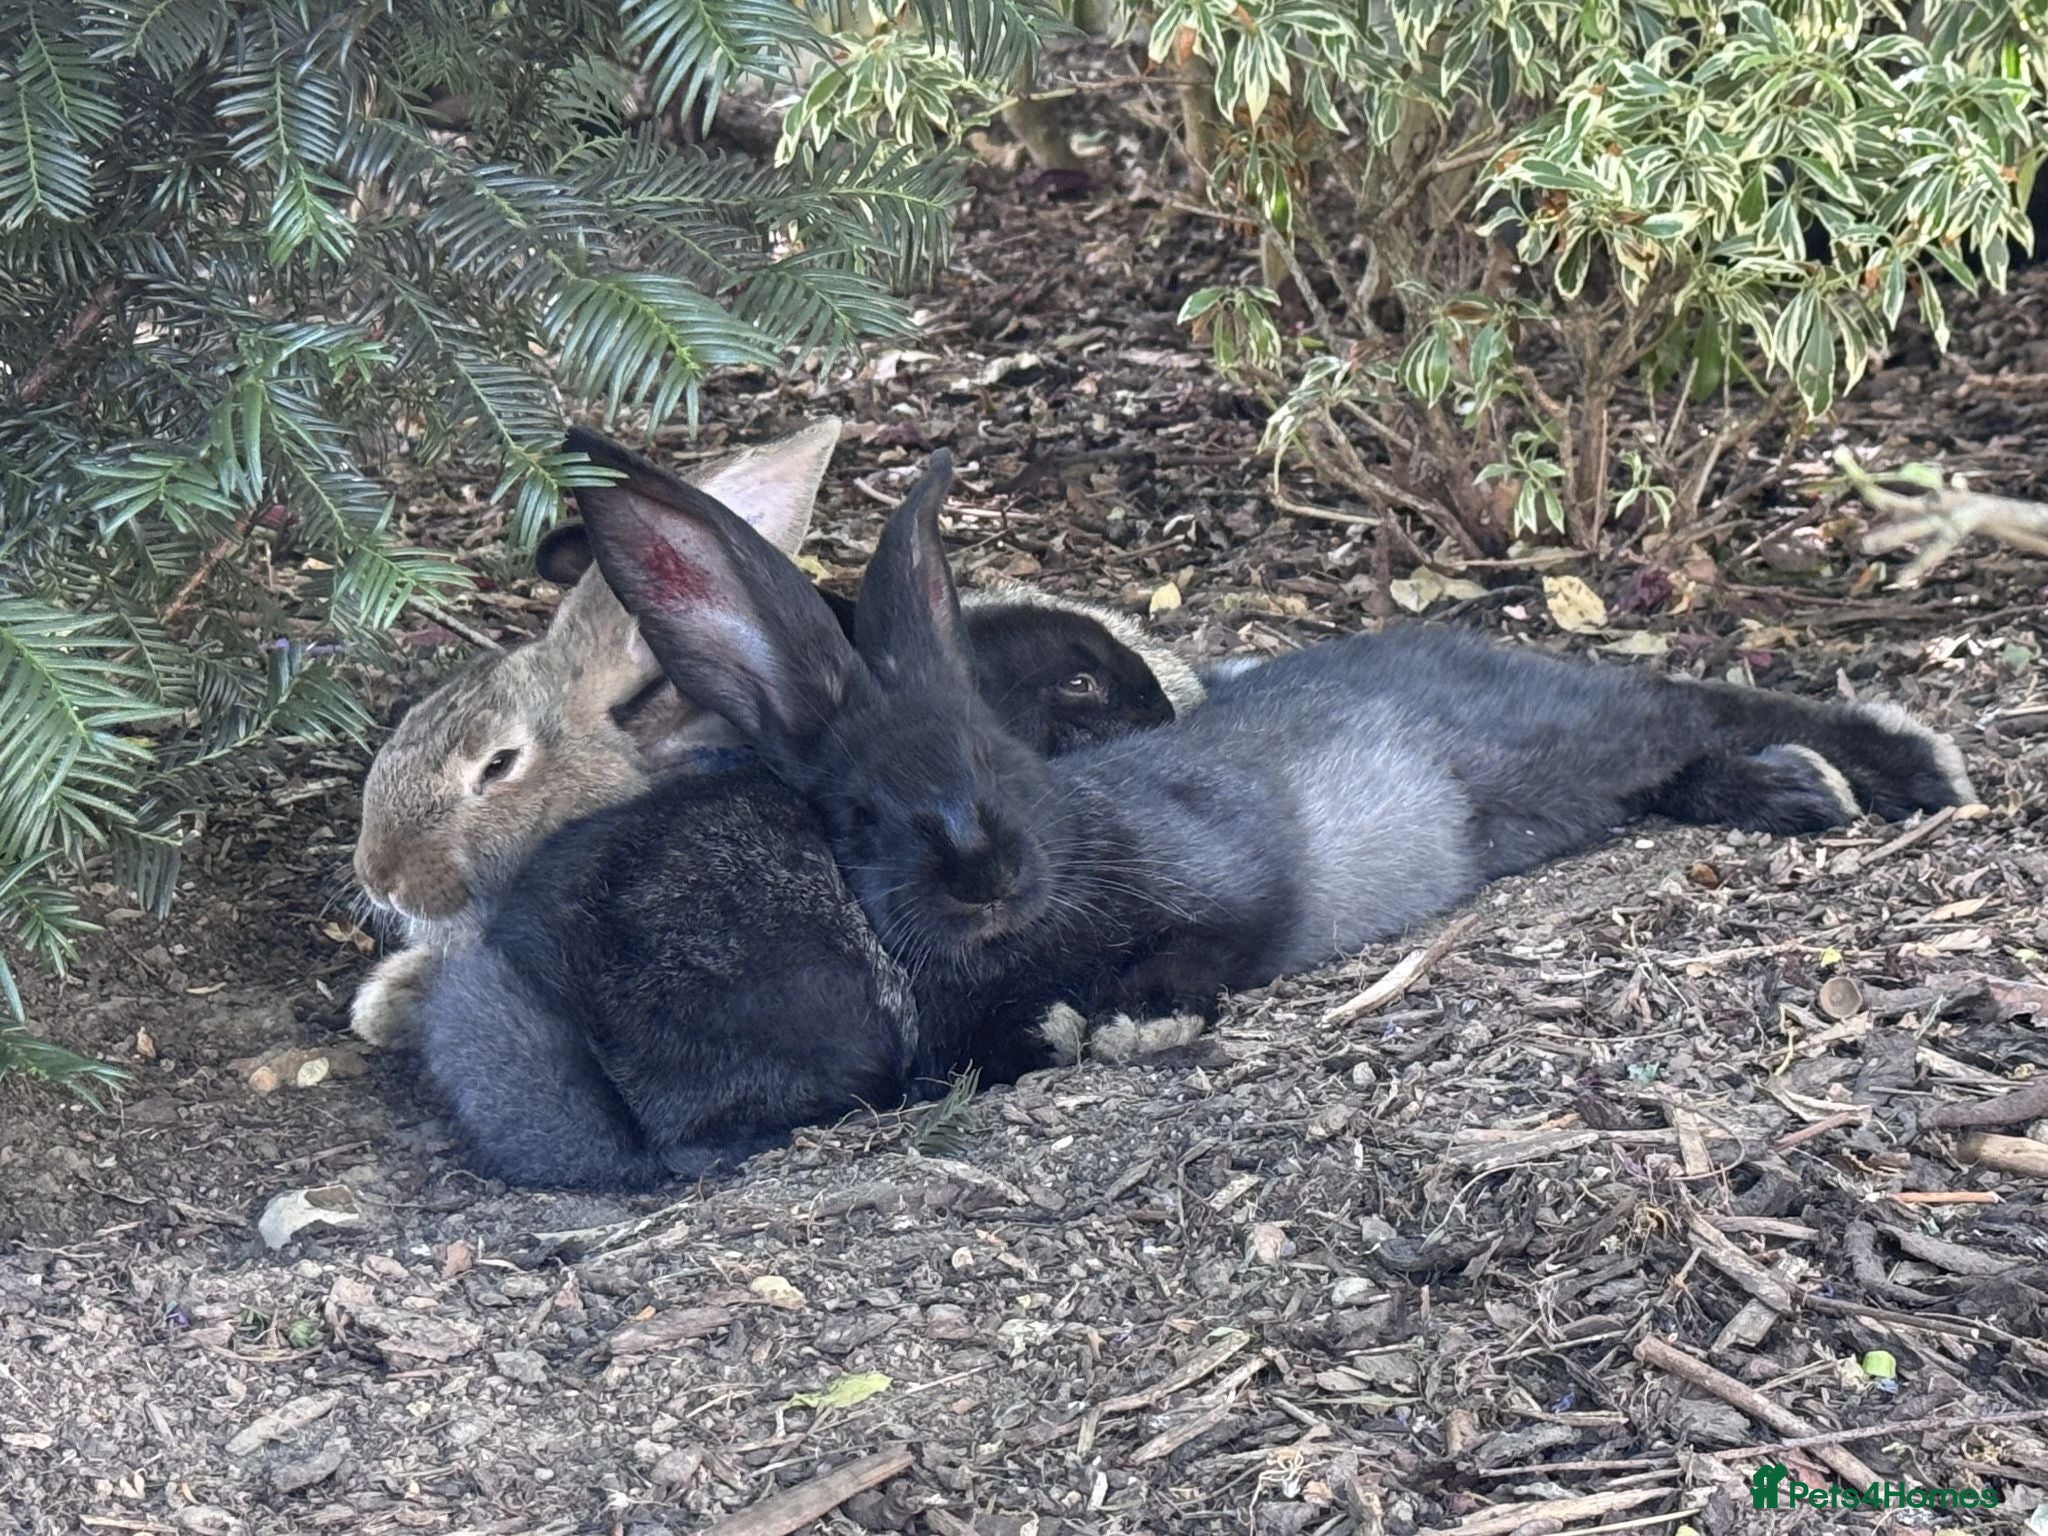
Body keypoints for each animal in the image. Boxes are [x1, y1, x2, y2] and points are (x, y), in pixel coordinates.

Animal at [575, 442, 1978, 1089]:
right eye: (854, 812)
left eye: (996, 759)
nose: (984, 878)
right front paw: (1071, 1025)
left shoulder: (1237, 884)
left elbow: (1210, 947)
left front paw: (1129, 1022)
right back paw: (1797, 789)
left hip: (1570, 735)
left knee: (1689, 705)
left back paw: (1902, 770)